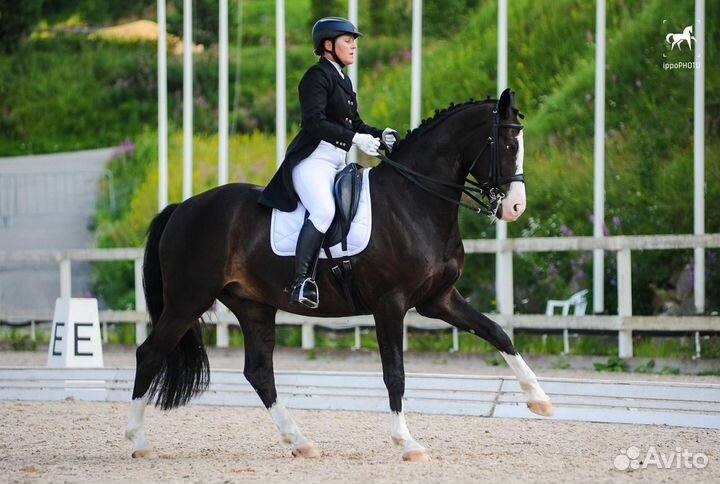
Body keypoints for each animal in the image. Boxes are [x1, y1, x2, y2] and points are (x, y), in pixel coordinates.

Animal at [124, 88, 554, 463]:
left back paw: (300, 441)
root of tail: (181, 208)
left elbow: (497, 333)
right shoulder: (390, 304)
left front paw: (539, 399)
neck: (413, 201)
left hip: (252, 306)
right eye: (508, 146)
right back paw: (138, 442)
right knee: (150, 354)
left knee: (259, 372)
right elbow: (395, 373)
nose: (515, 208)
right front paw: (407, 443)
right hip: (188, 301)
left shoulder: (439, 300)